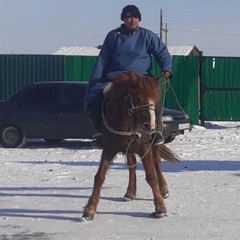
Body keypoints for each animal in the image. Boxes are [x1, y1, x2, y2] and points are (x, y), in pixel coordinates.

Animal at [81, 71, 179, 221]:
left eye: (155, 99)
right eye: (138, 98)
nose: (149, 126)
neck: (126, 123)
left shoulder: (144, 149)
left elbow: (151, 176)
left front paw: (160, 208)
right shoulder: (108, 149)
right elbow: (99, 177)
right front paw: (90, 210)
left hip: (153, 145)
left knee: (156, 163)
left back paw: (163, 189)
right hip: (129, 149)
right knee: (132, 166)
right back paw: (130, 192)